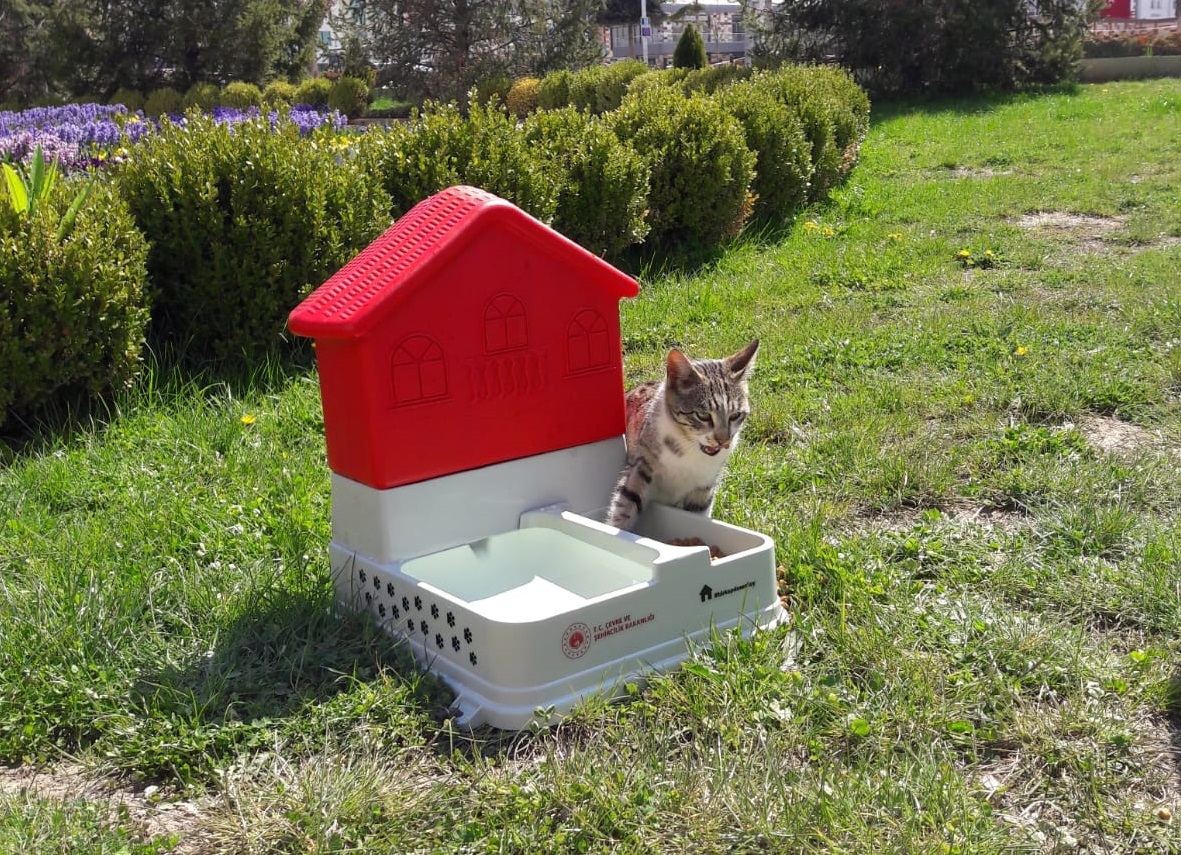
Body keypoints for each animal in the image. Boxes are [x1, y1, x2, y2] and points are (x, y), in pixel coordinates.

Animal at [604, 340, 760, 526]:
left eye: (735, 415)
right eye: (703, 416)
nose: (723, 440)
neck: (689, 447)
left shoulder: (705, 485)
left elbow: (696, 512)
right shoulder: (643, 463)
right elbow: (628, 500)